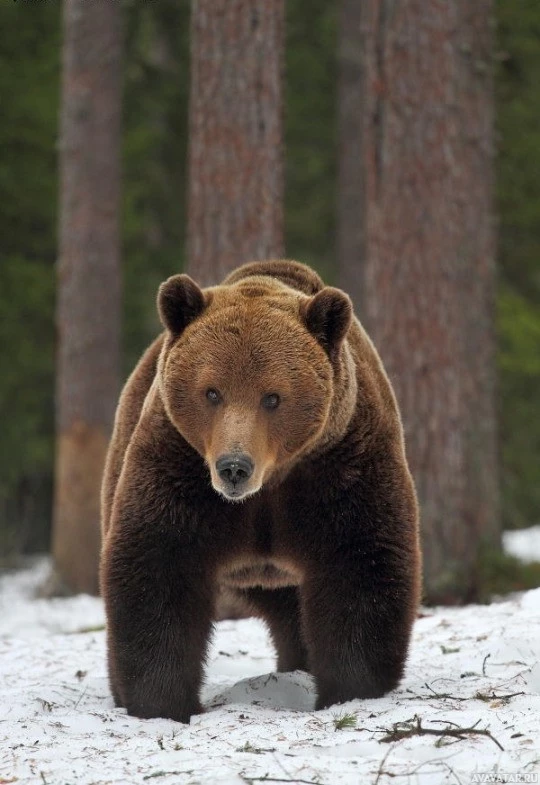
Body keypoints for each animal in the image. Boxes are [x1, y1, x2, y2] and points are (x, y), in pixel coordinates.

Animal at [101, 258, 422, 724]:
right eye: (212, 391)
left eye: (272, 397)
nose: (234, 467)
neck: (269, 486)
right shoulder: (178, 468)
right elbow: (158, 566)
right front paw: (161, 702)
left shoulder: (341, 466)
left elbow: (361, 566)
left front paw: (352, 690)